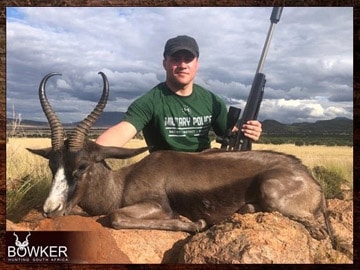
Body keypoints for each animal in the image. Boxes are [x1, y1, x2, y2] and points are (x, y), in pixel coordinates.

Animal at [27, 71, 332, 240]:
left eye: (81, 166)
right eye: (52, 165)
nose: (50, 209)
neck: (121, 183)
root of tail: (311, 179)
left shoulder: (156, 205)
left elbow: (114, 217)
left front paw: (194, 222)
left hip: (272, 190)